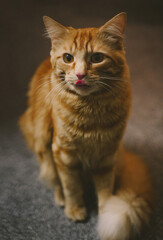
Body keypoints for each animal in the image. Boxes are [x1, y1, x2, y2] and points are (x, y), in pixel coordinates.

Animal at [19, 13, 154, 240]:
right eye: (68, 58)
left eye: (97, 58)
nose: (80, 74)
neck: (91, 111)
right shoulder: (63, 152)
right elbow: (71, 186)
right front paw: (74, 209)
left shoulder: (107, 155)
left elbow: (106, 190)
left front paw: (106, 212)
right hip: (41, 141)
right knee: (53, 177)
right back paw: (60, 198)